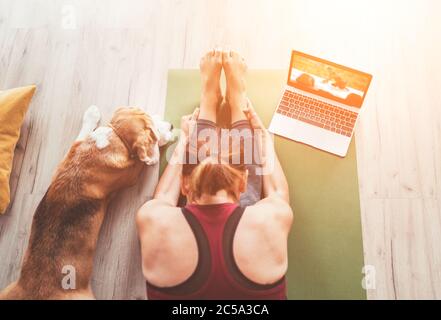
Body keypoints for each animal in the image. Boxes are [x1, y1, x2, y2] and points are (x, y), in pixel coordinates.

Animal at [0, 106, 171, 298]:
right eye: (152, 131)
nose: (171, 125)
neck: (116, 136)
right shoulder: (131, 173)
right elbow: (144, 158)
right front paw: (159, 145)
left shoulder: (72, 150)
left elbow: (83, 132)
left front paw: (92, 114)